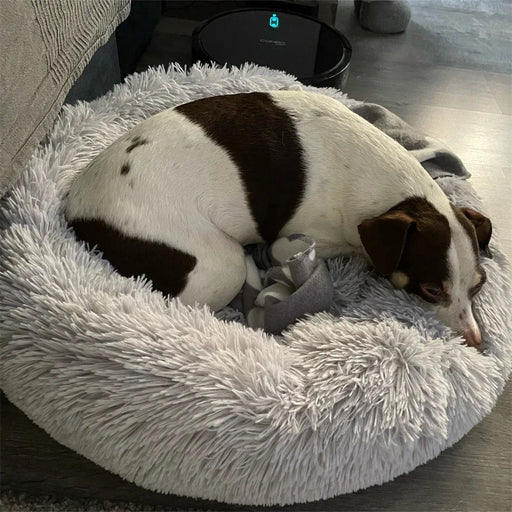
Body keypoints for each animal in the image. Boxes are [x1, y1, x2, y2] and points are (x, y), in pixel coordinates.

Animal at [65, 91, 492, 348]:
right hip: (218, 265)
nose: (476, 341)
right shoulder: (303, 238)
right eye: (431, 290)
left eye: (478, 286)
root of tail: (76, 212)